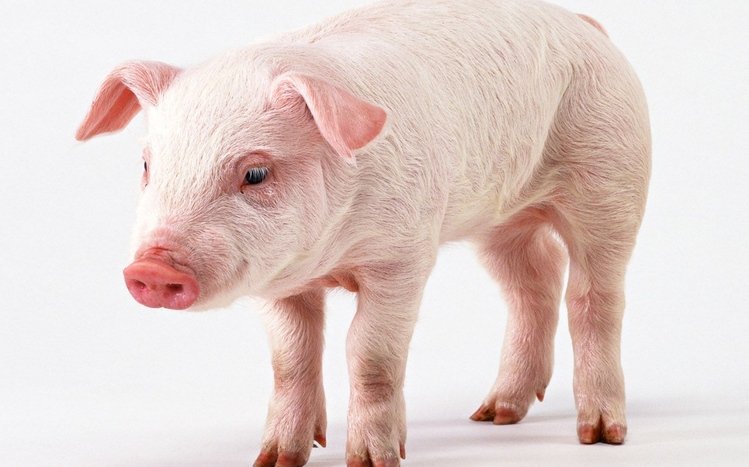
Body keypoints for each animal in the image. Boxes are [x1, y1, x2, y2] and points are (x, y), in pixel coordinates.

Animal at [75, 0, 650, 465]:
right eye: (147, 165)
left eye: (255, 172)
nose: (152, 266)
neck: (330, 257)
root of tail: (585, 25)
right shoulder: (278, 281)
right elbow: (290, 360)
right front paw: (278, 459)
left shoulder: (403, 258)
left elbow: (370, 353)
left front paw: (373, 461)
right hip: (500, 220)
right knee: (535, 281)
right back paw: (494, 415)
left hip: (613, 178)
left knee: (595, 296)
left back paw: (600, 435)